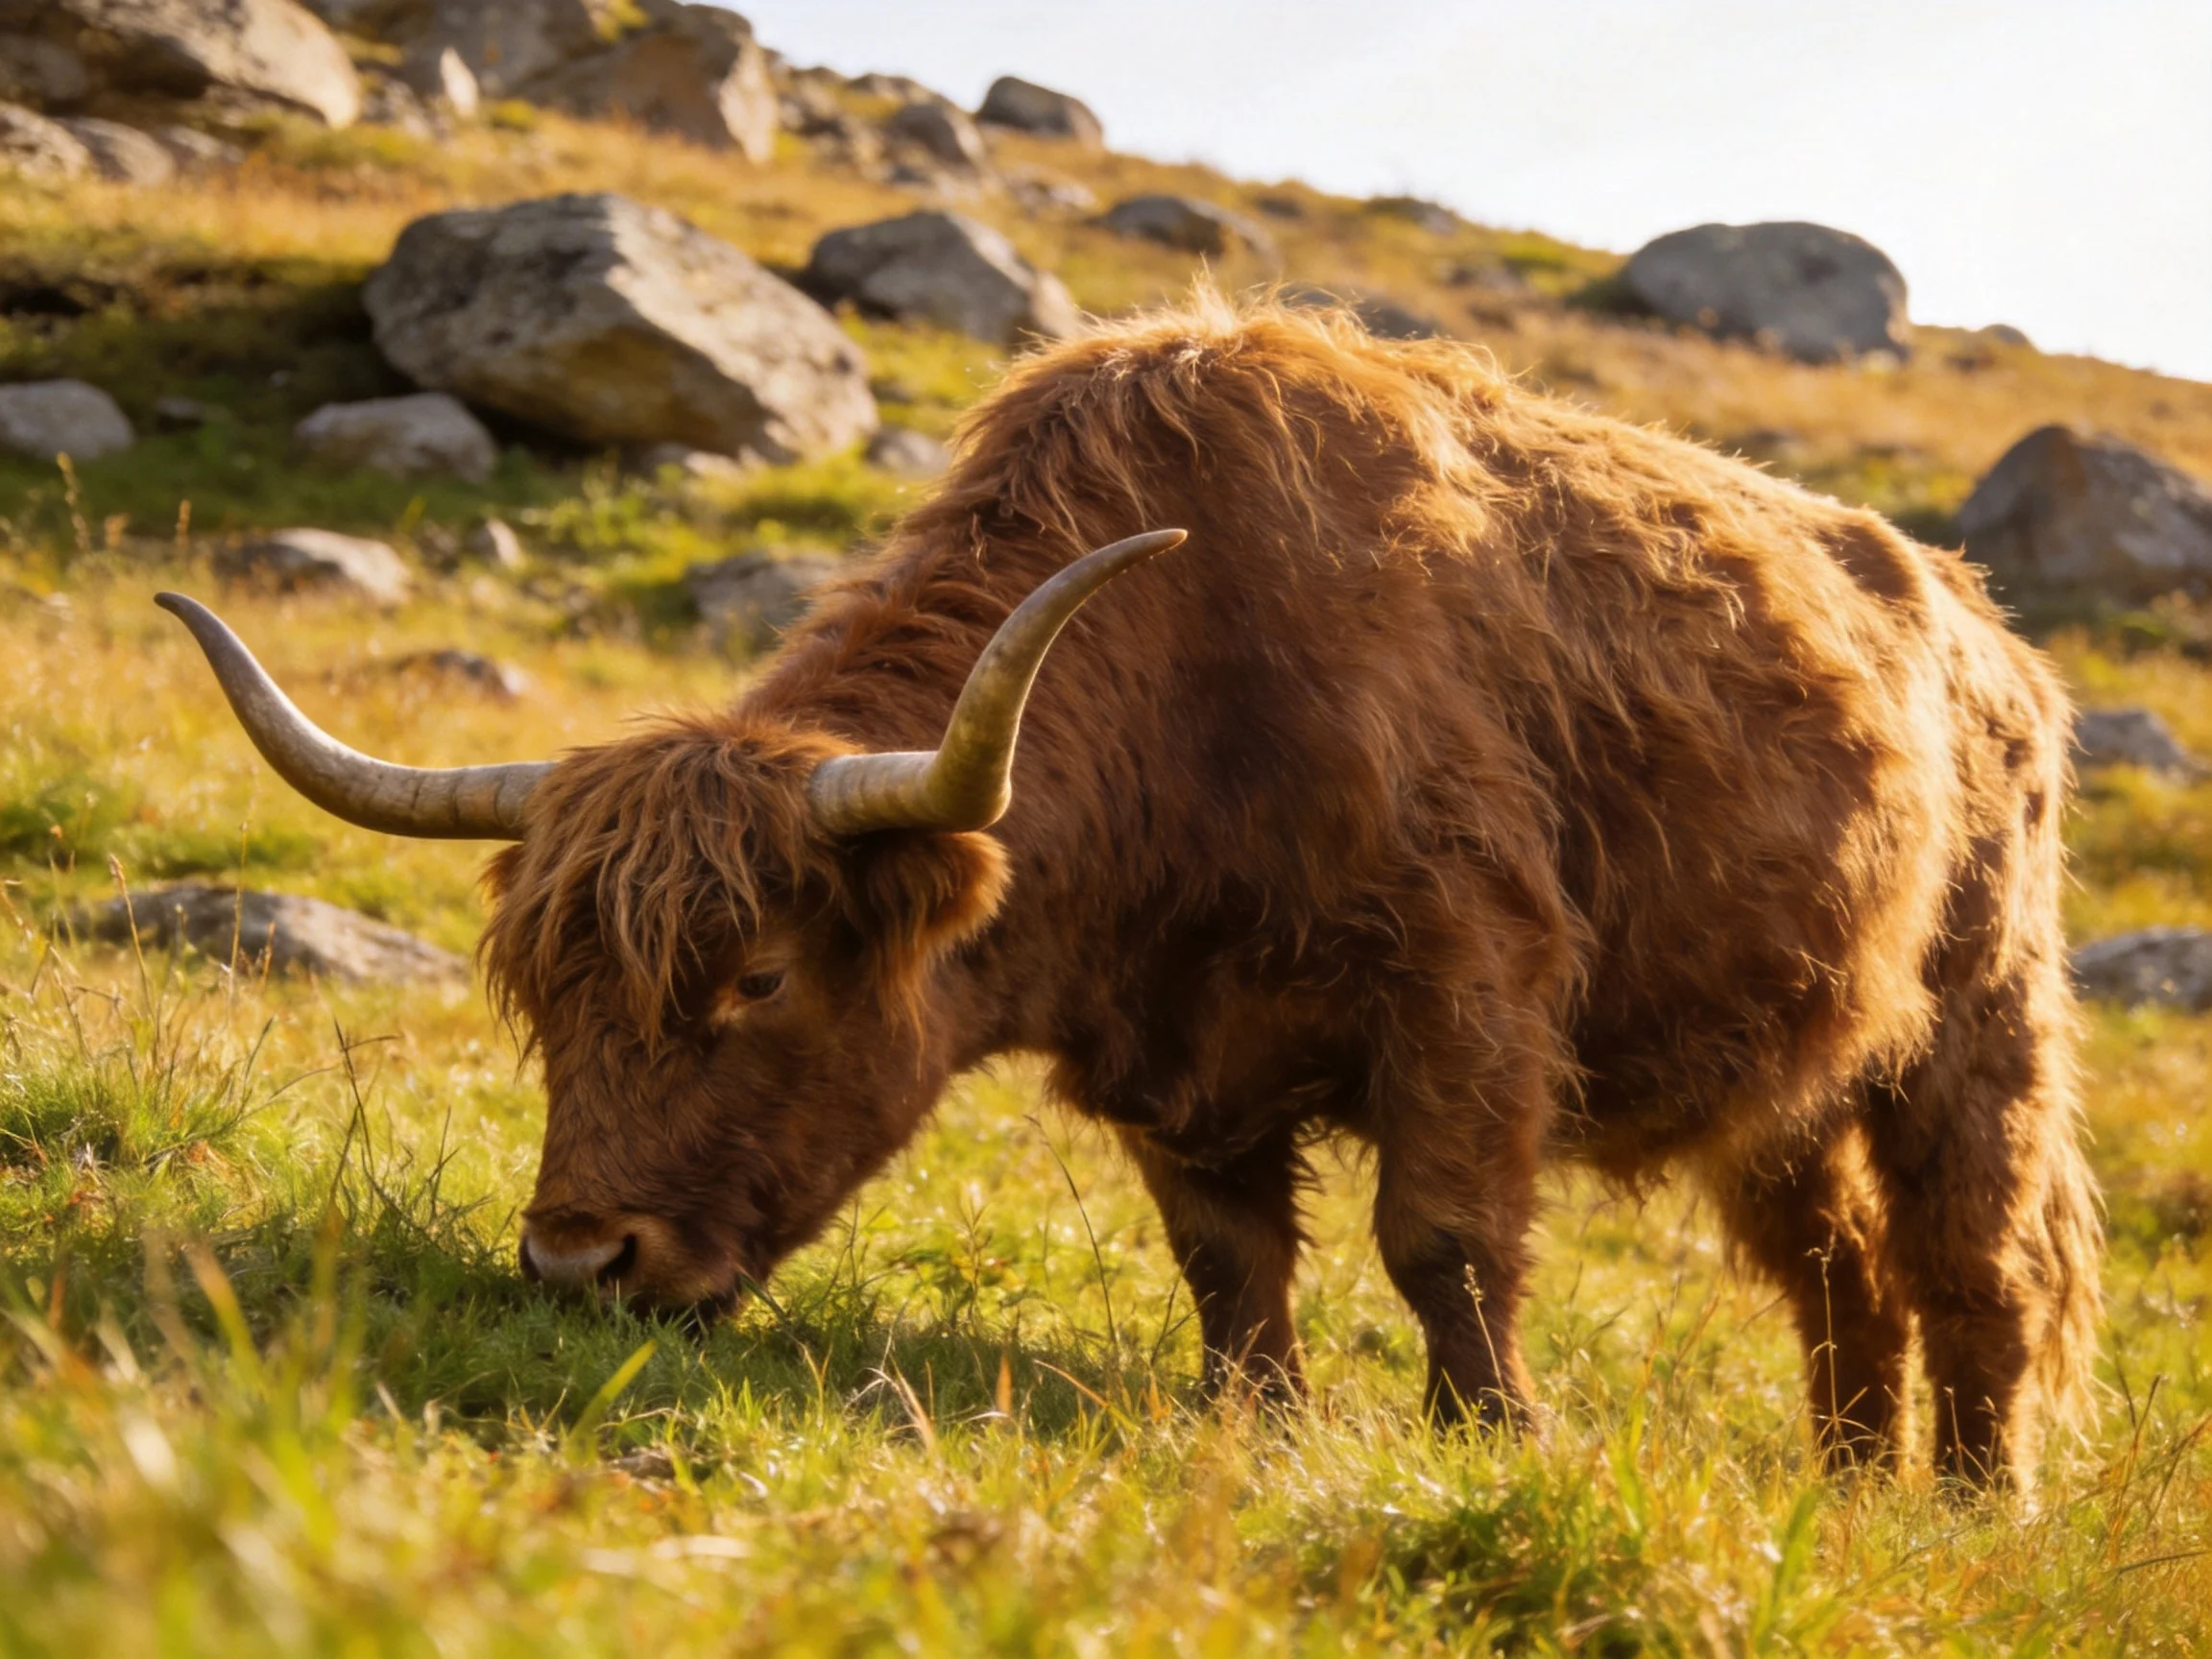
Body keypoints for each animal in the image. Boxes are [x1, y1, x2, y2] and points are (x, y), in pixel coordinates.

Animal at [160, 296, 2100, 1490]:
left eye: (759, 978)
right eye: (547, 995)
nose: (578, 1258)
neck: (1194, 688)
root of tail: (1977, 620)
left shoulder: (1468, 980)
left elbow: (1443, 1240)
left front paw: (1496, 1443)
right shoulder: (1179, 1059)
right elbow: (1228, 1265)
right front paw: (1259, 1430)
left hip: (1973, 1022)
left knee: (1972, 1266)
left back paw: (1965, 1508)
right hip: (1790, 1074)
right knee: (1839, 1274)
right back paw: (1846, 1487)